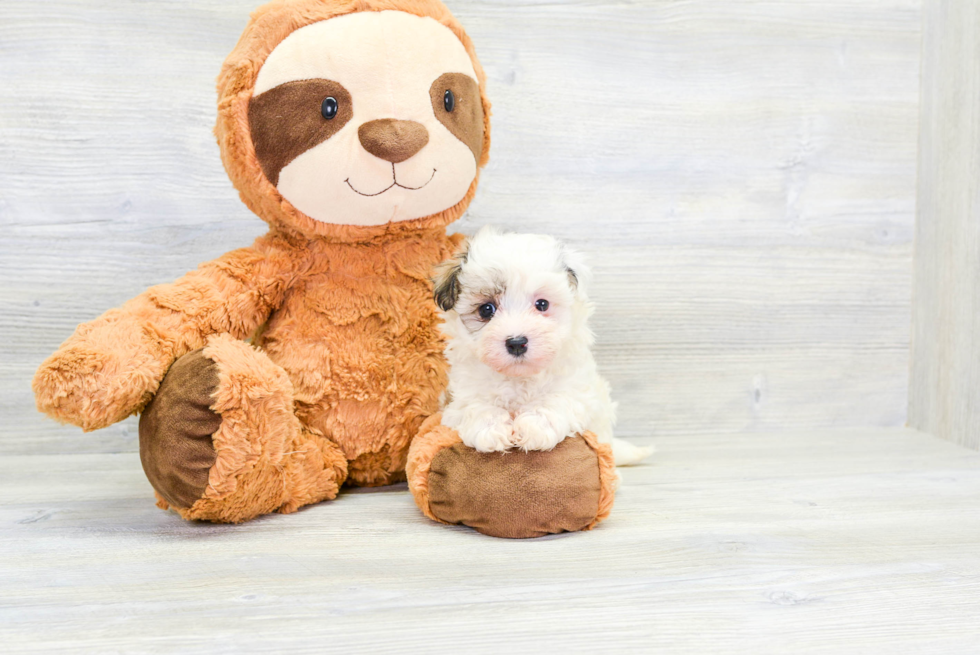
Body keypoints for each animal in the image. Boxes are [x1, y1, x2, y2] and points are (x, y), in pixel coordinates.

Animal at [434, 226, 652, 466]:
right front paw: (490, 428)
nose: (517, 343)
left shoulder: (580, 390)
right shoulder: (458, 397)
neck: (519, 378)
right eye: (486, 309)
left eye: (542, 304)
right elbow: (474, 405)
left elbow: (559, 398)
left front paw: (534, 426)